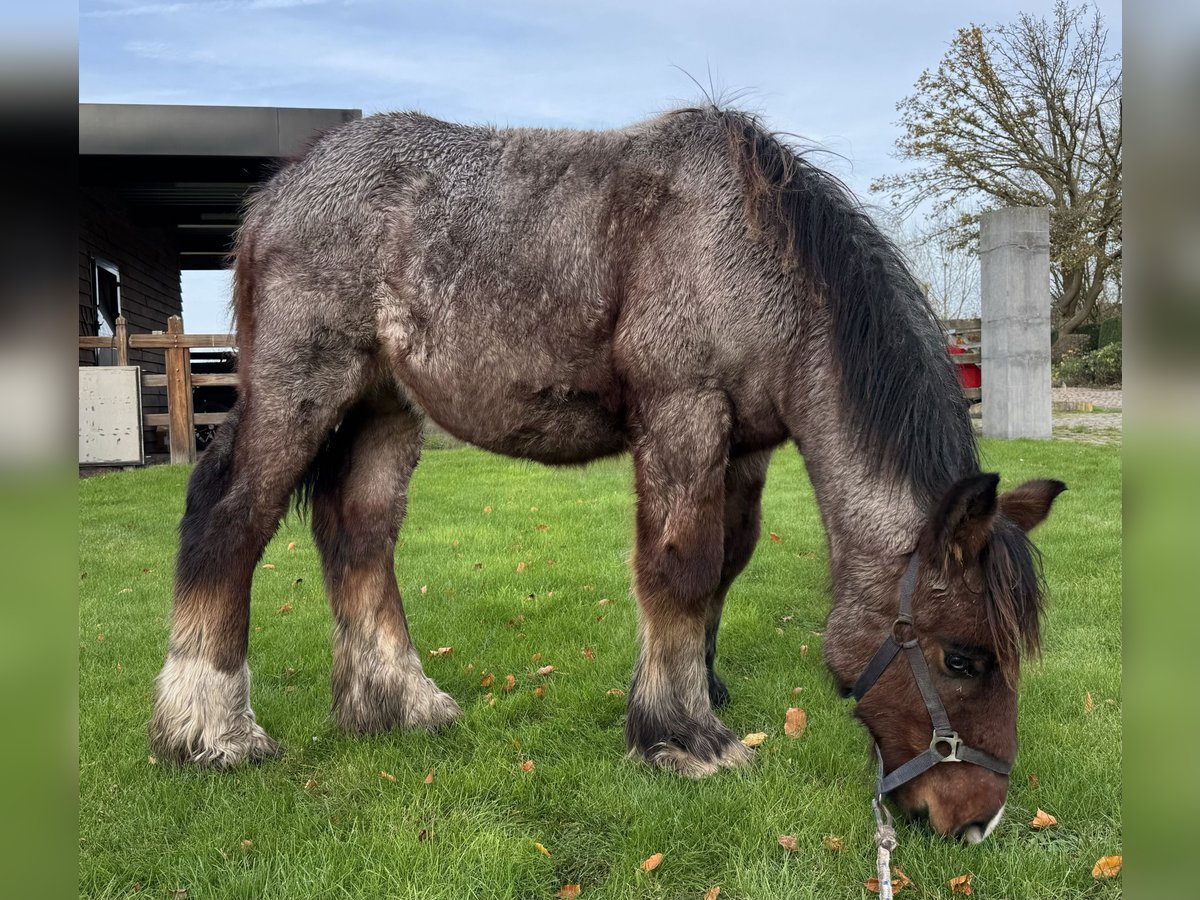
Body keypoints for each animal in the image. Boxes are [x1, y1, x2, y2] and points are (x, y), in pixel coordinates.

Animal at [147, 105, 1060, 844]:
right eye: (964, 659)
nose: (978, 821)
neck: (751, 254)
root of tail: (278, 193)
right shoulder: (683, 414)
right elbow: (681, 571)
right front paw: (683, 739)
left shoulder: (746, 449)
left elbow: (724, 569)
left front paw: (697, 693)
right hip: (302, 386)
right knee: (229, 517)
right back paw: (210, 732)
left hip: (383, 406)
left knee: (359, 534)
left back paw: (399, 704)